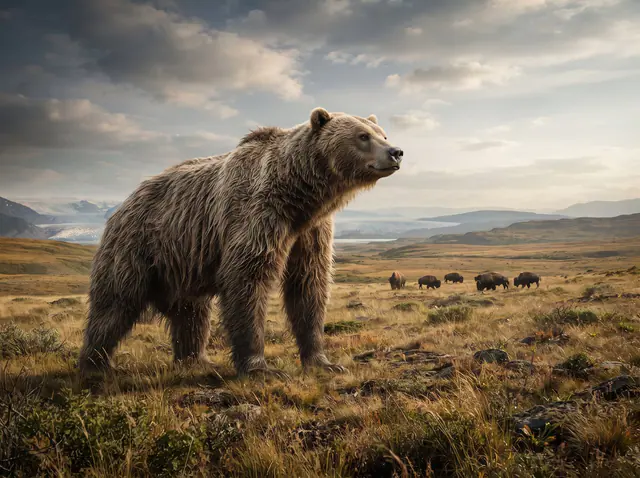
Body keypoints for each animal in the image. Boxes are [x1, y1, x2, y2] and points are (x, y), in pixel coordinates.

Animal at [78, 107, 404, 378]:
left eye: (382, 133)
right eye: (363, 136)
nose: (396, 151)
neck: (299, 197)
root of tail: (124, 202)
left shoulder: (310, 233)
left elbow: (308, 286)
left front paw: (322, 361)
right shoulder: (256, 215)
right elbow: (247, 279)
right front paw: (261, 368)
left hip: (183, 262)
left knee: (192, 314)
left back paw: (196, 360)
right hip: (138, 246)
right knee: (114, 304)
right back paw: (95, 364)